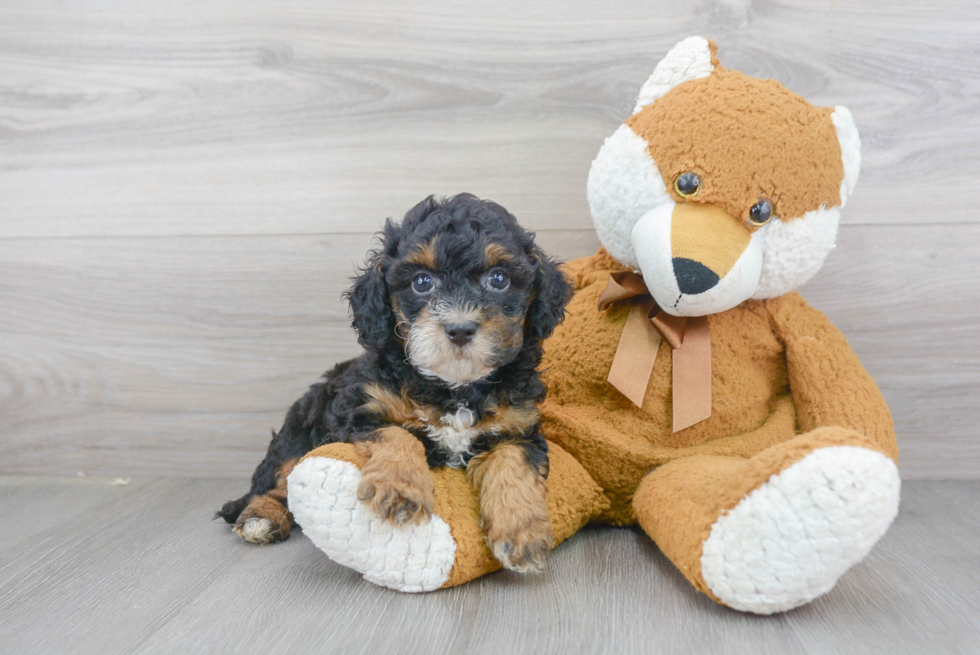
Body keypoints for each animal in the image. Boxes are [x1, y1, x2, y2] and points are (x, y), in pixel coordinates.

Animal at [218, 192, 572, 572]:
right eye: (422, 282)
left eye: (499, 278)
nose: (460, 329)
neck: (455, 388)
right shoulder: (358, 409)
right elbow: (397, 433)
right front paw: (399, 490)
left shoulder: (517, 427)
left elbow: (513, 460)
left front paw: (522, 533)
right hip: (298, 433)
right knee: (275, 480)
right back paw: (261, 518)